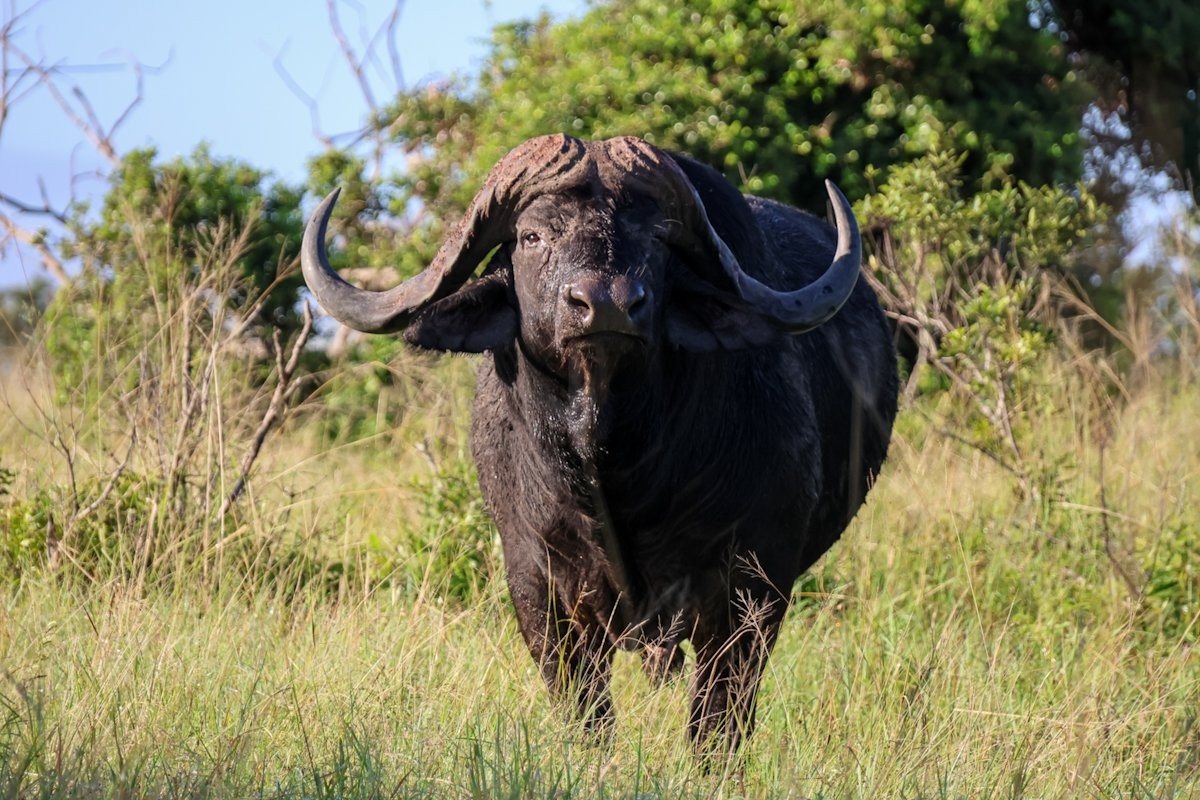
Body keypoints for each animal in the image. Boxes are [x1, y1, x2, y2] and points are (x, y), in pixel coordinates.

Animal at [301, 134, 898, 757]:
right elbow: (586, 710)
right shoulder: (536, 587)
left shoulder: (755, 584)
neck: (613, 471)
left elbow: (717, 719)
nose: (606, 304)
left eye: (657, 237)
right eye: (532, 236)